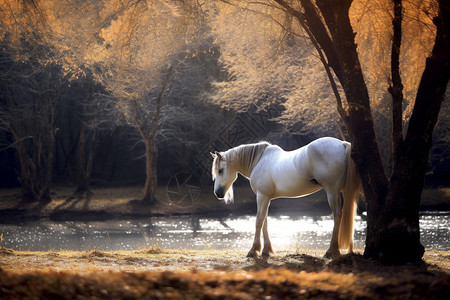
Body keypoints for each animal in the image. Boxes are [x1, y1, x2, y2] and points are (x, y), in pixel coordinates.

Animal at [211, 138, 362, 258]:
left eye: (220, 170)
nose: (217, 193)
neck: (258, 161)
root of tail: (341, 144)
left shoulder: (262, 196)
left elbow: (258, 221)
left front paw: (253, 251)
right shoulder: (266, 198)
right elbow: (265, 222)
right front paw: (266, 250)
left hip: (332, 191)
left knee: (337, 215)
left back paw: (331, 251)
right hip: (343, 191)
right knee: (348, 214)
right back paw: (348, 249)